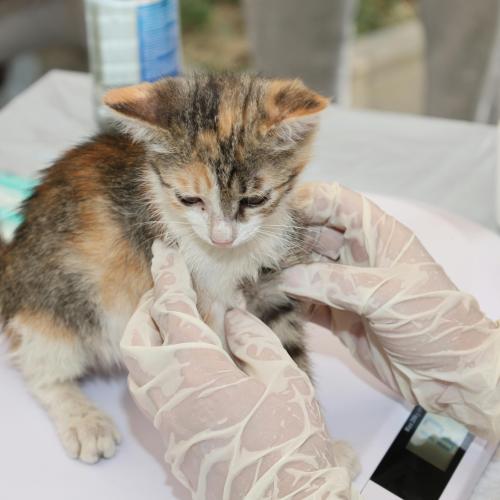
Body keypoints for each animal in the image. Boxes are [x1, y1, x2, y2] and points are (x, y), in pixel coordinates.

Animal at [0, 74, 328, 465]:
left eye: (254, 200)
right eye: (189, 199)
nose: (221, 237)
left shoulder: (269, 278)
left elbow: (287, 348)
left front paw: (311, 440)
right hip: (55, 301)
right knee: (42, 366)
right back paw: (83, 419)